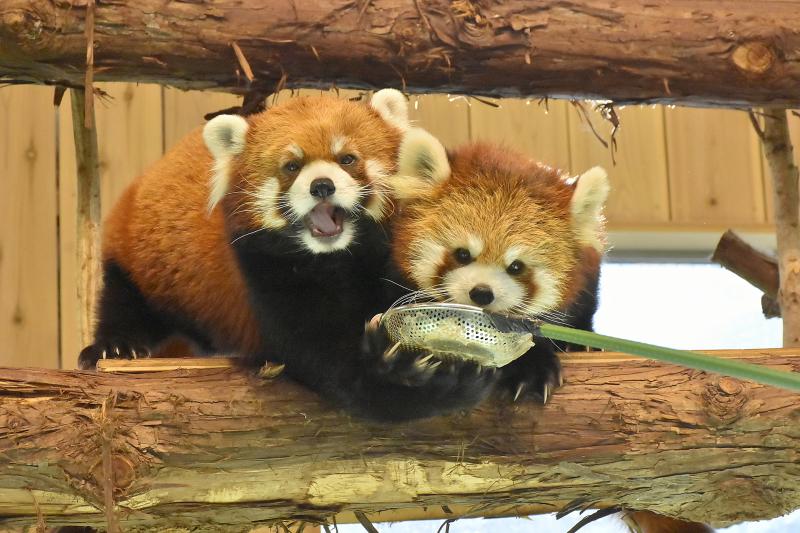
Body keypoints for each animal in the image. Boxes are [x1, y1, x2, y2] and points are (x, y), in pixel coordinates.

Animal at [78, 92, 496, 424]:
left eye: (347, 159)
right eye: (291, 167)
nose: (321, 186)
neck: (337, 258)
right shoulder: (266, 269)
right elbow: (331, 361)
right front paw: (408, 372)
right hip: (140, 254)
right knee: (124, 297)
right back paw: (114, 346)